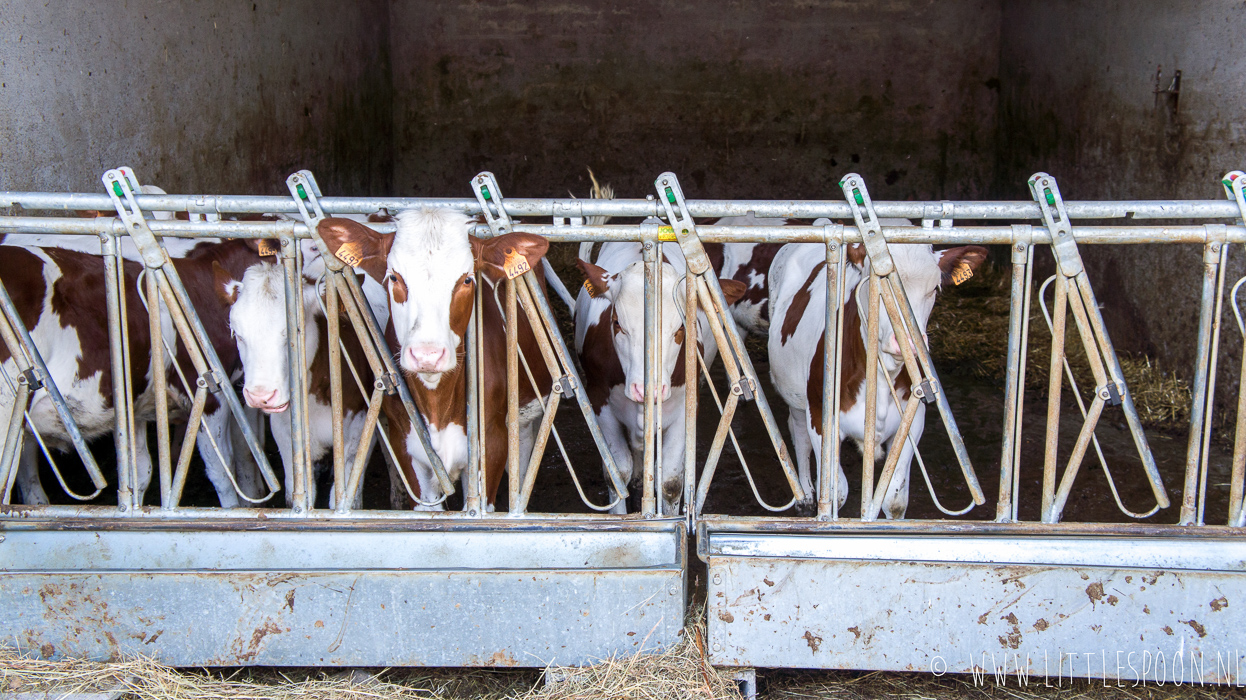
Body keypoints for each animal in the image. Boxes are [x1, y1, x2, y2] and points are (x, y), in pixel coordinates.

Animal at [313, 206, 553, 505]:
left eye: (467, 279)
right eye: (394, 277)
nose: (427, 355)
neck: (438, 402)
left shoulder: (492, 444)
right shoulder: (407, 447)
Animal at [578, 241, 742, 513]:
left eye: (681, 328)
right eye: (617, 323)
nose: (646, 390)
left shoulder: (686, 404)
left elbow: (671, 482)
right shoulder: (598, 399)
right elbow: (618, 474)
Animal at [762, 239, 986, 518]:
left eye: (934, 288)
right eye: (876, 286)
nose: (908, 342)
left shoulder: (913, 421)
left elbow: (894, 499)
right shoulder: (821, 419)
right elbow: (837, 492)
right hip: (796, 395)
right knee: (799, 433)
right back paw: (805, 498)